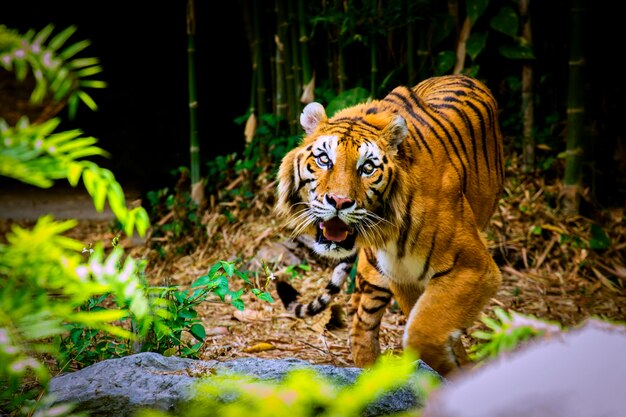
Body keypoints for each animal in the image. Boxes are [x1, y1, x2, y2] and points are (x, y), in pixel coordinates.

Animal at [272, 73, 502, 376]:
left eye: (367, 168)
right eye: (324, 159)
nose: (339, 201)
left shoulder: (474, 267)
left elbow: (424, 329)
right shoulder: (402, 276)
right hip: (374, 273)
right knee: (360, 318)